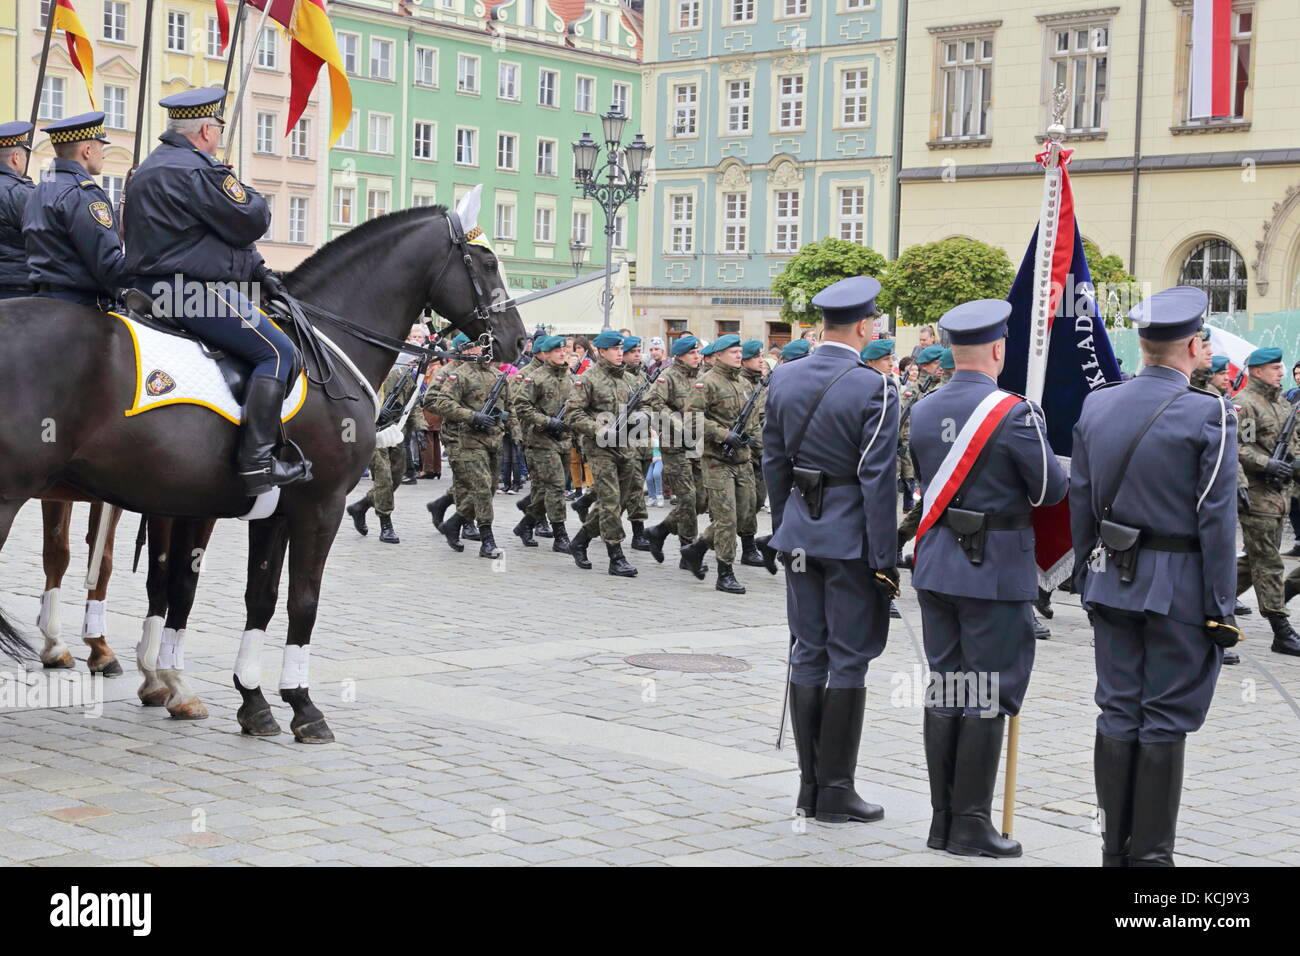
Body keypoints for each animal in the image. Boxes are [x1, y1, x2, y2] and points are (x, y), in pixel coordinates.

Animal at [1, 208, 527, 738]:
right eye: (485, 263)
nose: (518, 341)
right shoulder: (318, 505)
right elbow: (300, 600)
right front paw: (303, 705)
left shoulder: (266, 511)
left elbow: (256, 597)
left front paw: (250, 699)